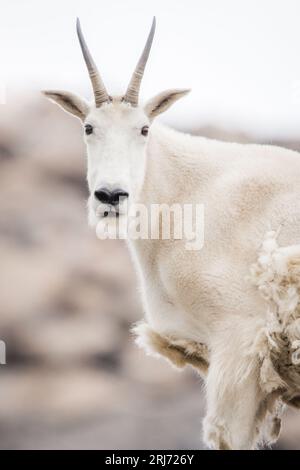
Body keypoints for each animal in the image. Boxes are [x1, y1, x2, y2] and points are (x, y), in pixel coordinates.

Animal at [42, 18, 300, 450]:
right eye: (89, 127)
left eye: (144, 129)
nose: (111, 195)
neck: (185, 194)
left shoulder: (241, 340)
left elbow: (227, 436)